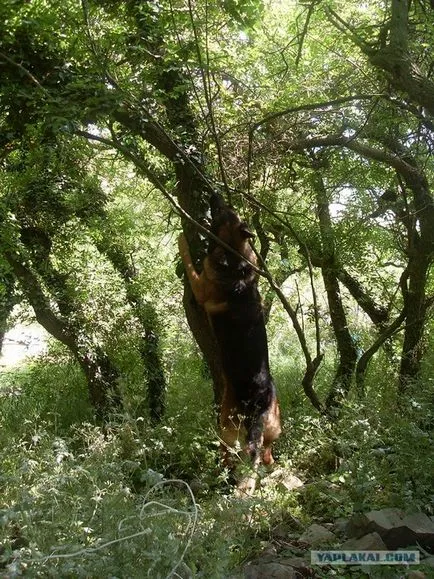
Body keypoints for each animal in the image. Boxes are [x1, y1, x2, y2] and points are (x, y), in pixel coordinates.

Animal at [177, 195, 282, 494]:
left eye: (226, 212)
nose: (214, 194)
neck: (235, 254)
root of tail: (261, 398)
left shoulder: (201, 285)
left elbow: (189, 259)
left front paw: (182, 239)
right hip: (254, 428)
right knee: (264, 455)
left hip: (231, 429)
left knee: (244, 456)